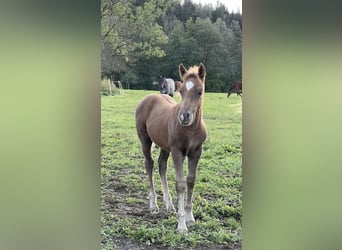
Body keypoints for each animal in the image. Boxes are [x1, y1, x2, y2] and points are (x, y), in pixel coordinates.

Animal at [136, 63, 206, 231]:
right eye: (181, 91)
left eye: (199, 92)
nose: (184, 116)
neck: (190, 130)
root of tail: (149, 97)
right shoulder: (177, 151)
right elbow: (180, 184)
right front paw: (181, 225)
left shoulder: (196, 152)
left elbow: (191, 180)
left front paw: (190, 218)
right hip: (145, 140)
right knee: (149, 164)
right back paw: (154, 205)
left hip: (164, 146)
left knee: (162, 165)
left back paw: (169, 205)